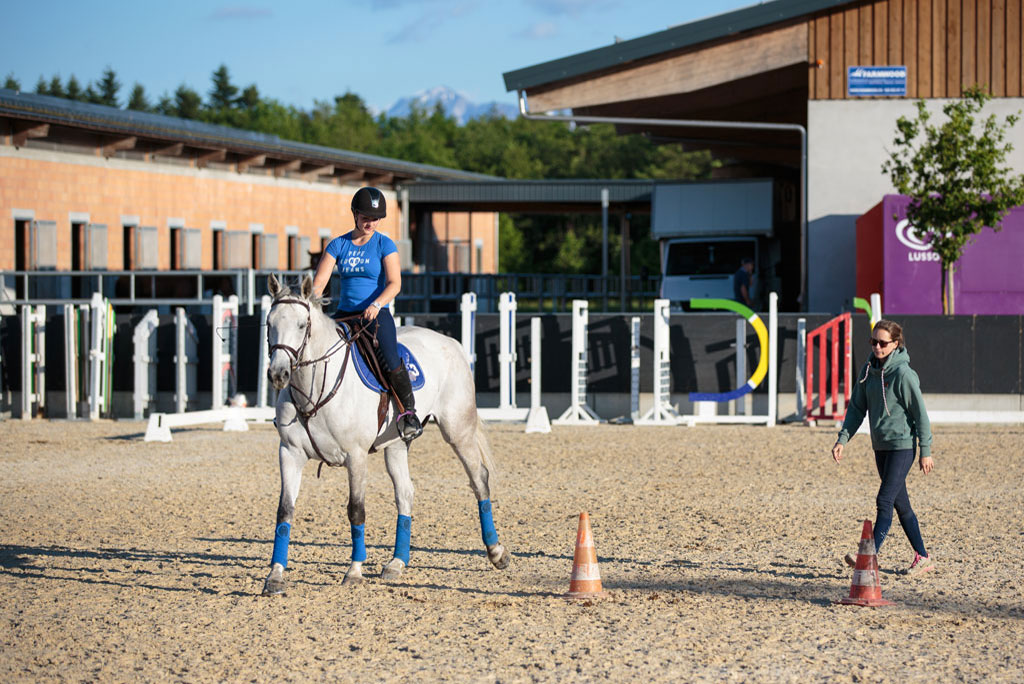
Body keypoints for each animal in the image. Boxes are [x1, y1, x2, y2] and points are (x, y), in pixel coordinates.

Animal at [260, 274, 507, 593]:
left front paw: (354, 571)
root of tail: (449, 341)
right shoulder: (290, 454)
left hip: (458, 430)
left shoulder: (355, 456)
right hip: (397, 445)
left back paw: (497, 552)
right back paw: (397, 563)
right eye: (269, 323)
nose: (278, 374)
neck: (314, 387)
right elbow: (285, 511)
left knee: (478, 479)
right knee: (405, 493)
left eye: (303, 325)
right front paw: (275, 575)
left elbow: (356, 509)